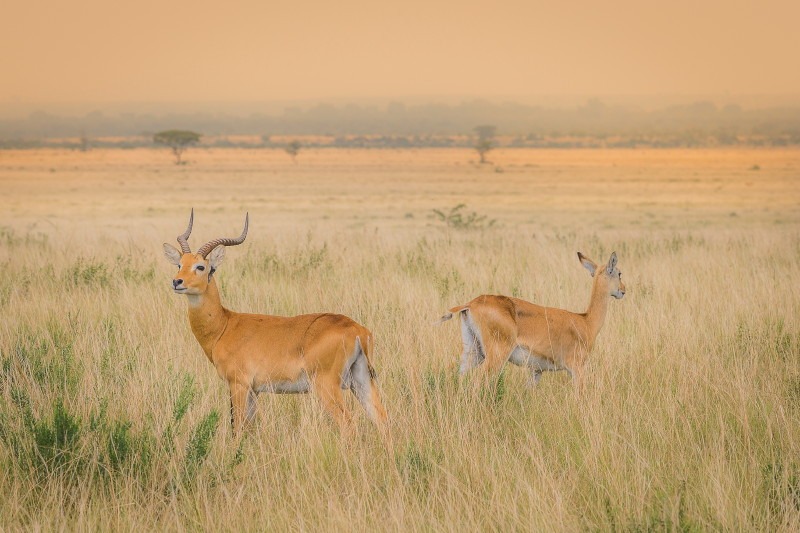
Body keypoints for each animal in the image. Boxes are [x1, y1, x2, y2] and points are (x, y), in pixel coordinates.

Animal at [162, 210, 388, 434]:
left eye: (201, 266)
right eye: (180, 264)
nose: (177, 281)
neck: (224, 325)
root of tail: (357, 330)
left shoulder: (238, 384)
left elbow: (237, 428)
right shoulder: (254, 390)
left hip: (327, 386)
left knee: (348, 424)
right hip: (361, 382)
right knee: (382, 419)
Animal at [438, 251, 624, 384]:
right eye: (619, 273)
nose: (623, 290)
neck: (586, 321)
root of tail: (471, 303)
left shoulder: (536, 371)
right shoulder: (576, 368)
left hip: (473, 352)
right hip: (495, 356)